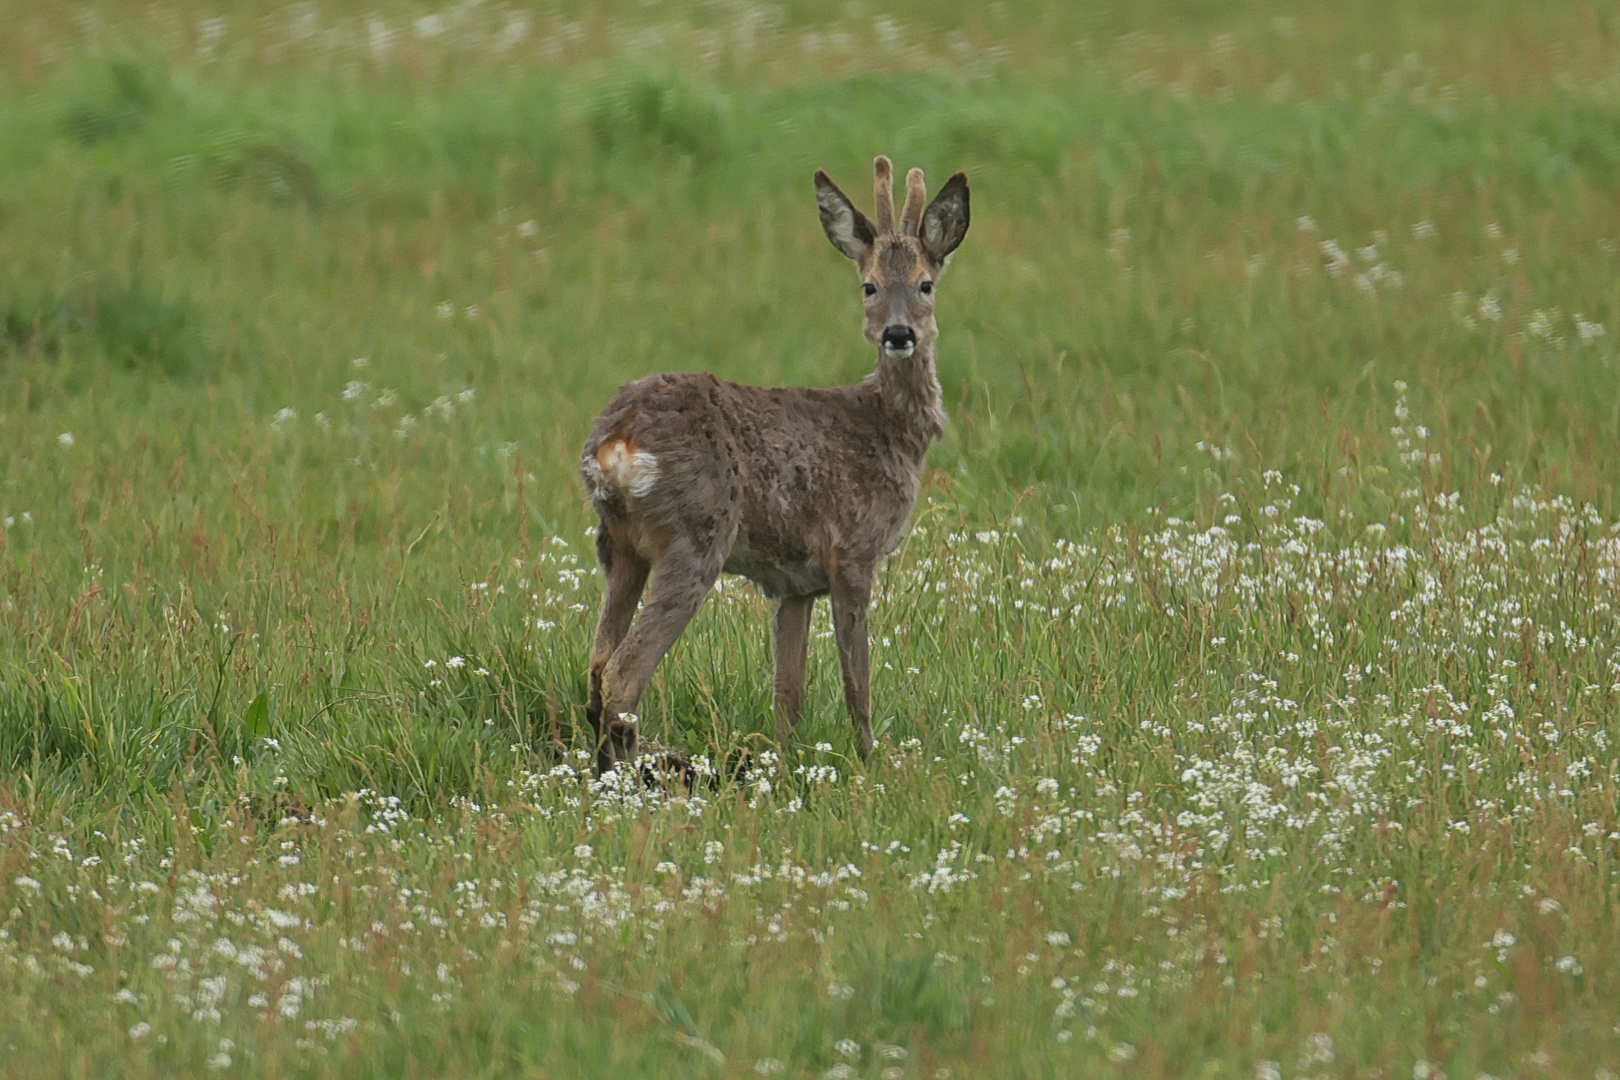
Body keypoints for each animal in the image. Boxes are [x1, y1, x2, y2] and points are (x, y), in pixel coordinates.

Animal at [579, 156, 965, 773]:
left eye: (925, 284)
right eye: (869, 286)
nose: (898, 333)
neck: (889, 429)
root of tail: (616, 441)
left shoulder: (795, 582)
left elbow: (789, 691)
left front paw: (783, 767)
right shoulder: (853, 552)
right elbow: (857, 683)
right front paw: (869, 762)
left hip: (617, 545)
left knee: (595, 670)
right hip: (695, 538)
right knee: (622, 676)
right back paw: (642, 775)